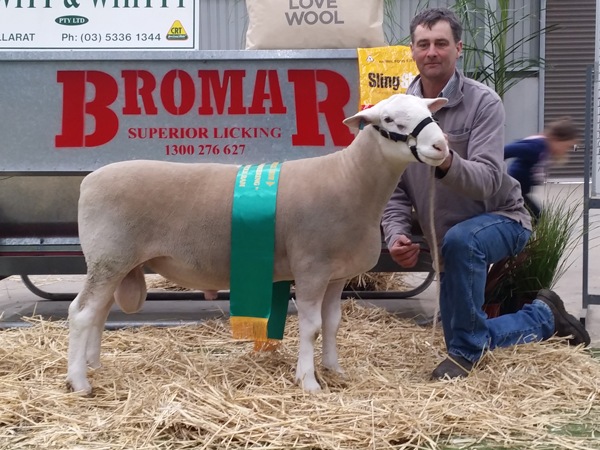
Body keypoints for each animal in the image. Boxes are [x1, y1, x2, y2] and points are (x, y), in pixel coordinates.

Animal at [67, 93, 450, 392]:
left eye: (428, 112)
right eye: (389, 119)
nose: (441, 146)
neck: (350, 179)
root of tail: (88, 182)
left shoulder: (337, 275)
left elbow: (332, 324)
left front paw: (334, 369)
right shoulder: (311, 267)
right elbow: (311, 327)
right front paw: (308, 381)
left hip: (117, 263)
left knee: (99, 311)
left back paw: (94, 366)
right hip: (108, 256)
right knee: (81, 313)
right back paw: (79, 382)